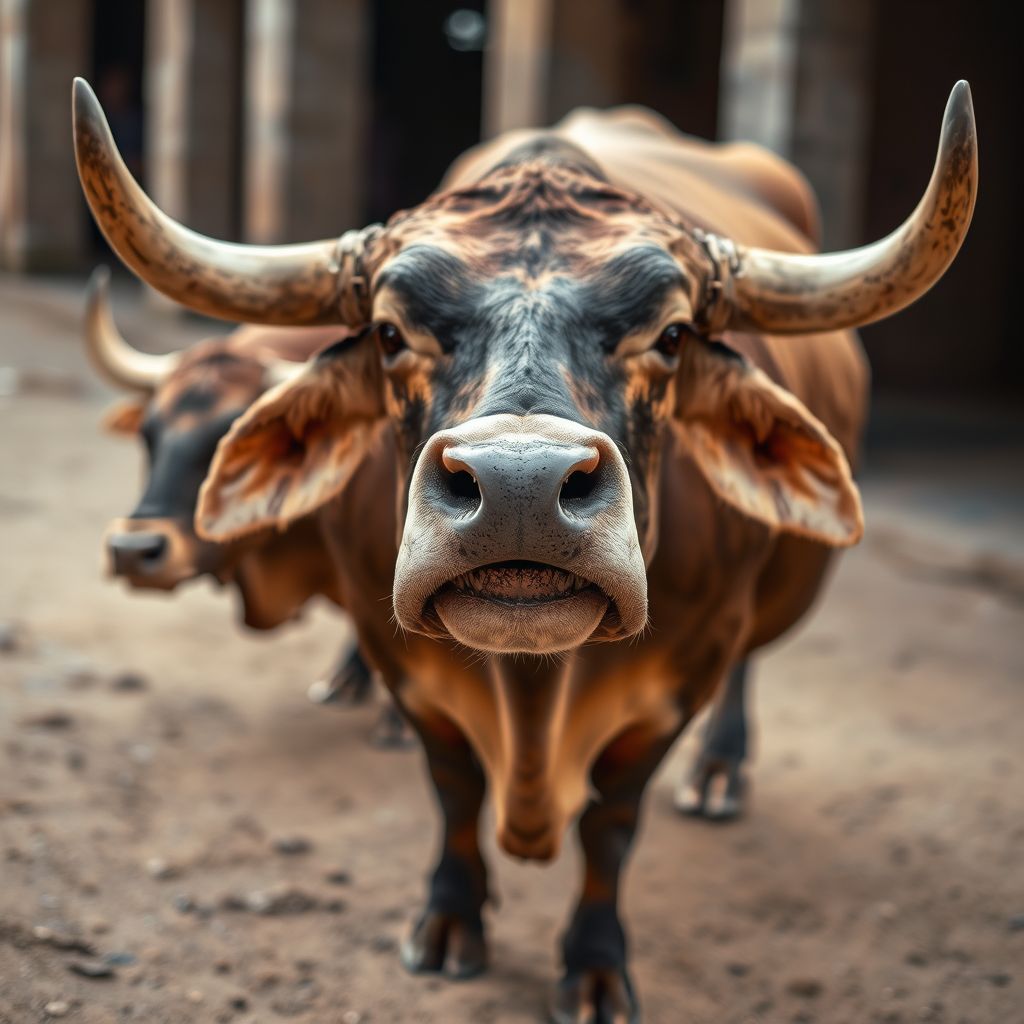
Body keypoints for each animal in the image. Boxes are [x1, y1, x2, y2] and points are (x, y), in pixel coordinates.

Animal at [73, 76, 976, 1022]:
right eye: (390, 333)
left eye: (673, 335)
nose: (518, 489)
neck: (534, 707)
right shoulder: (404, 661)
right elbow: (454, 788)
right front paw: (447, 922)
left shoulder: (682, 675)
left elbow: (611, 825)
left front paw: (595, 965)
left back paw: (720, 773)